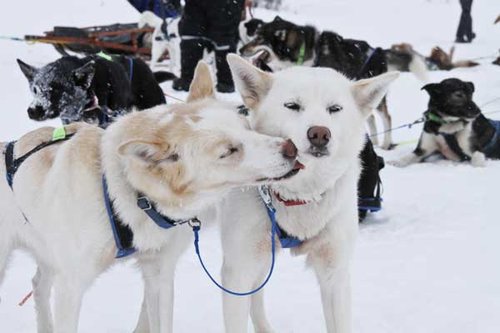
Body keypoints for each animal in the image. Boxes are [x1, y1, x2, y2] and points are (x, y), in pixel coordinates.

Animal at [215, 55, 398, 332]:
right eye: (292, 105)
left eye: (334, 108)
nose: (320, 133)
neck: (298, 196)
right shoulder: (238, 271)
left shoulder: (335, 274)